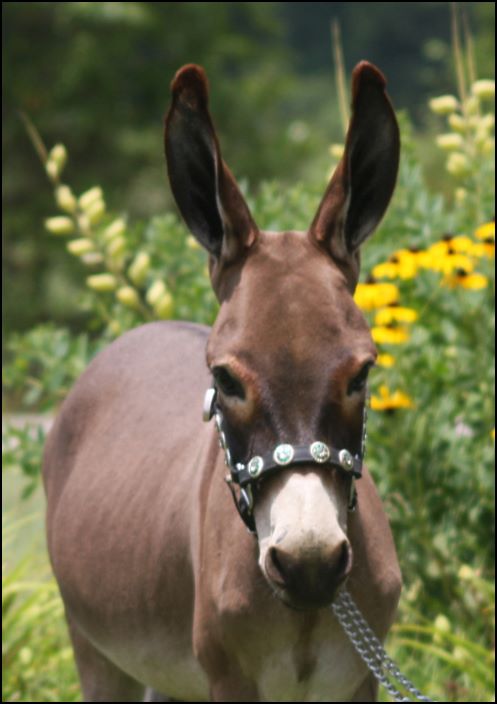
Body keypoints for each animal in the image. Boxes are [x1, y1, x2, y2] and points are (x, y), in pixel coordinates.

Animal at [43, 60, 402, 702]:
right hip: (94, 648)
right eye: (224, 379)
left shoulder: (362, 679)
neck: (306, 615)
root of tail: (139, 331)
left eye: (362, 373)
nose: (309, 564)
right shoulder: (227, 677)